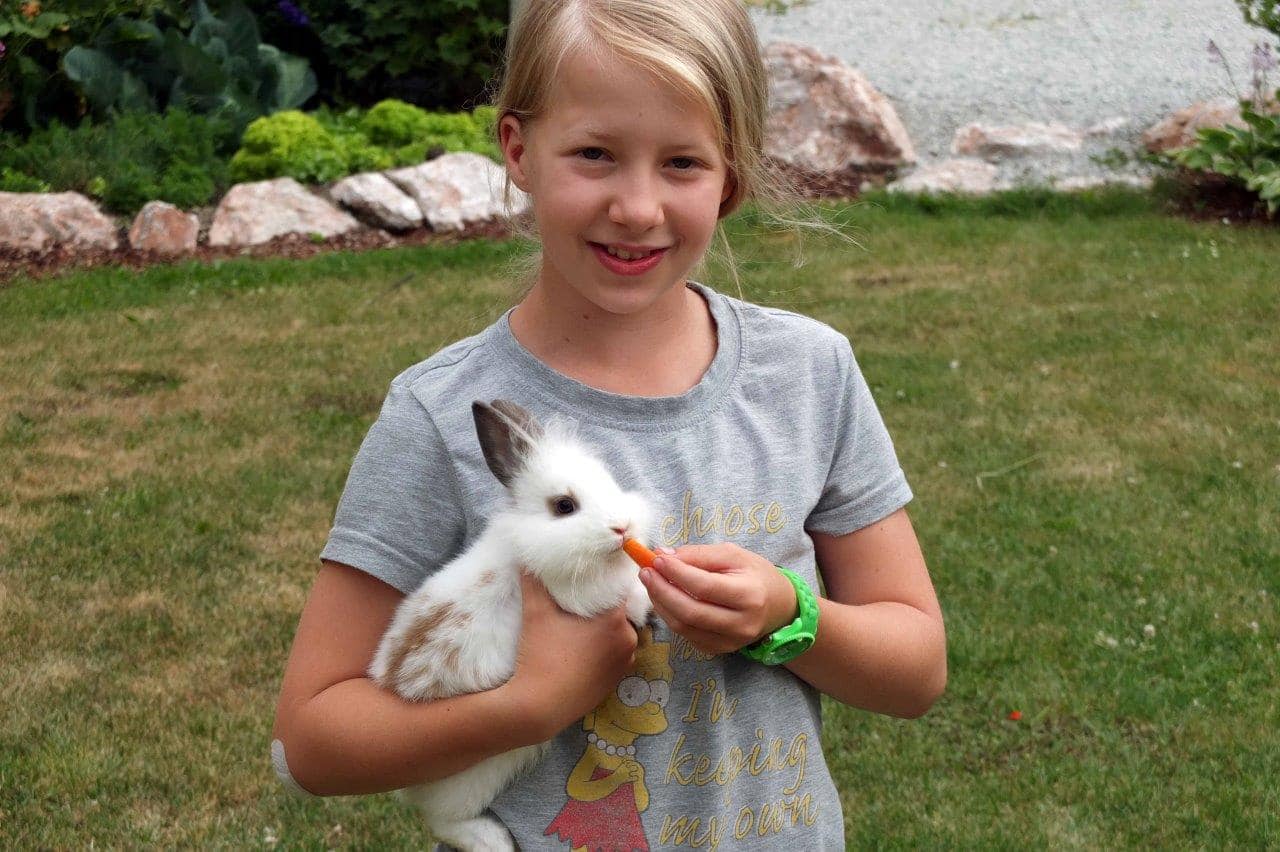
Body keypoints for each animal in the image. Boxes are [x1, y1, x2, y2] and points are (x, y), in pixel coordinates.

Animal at [369, 399, 655, 852]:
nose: (622, 527)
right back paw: (496, 840)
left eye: (609, 482)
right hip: (478, 772)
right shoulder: (576, 598)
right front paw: (643, 604)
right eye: (564, 506)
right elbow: (619, 594)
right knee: (444, 821)